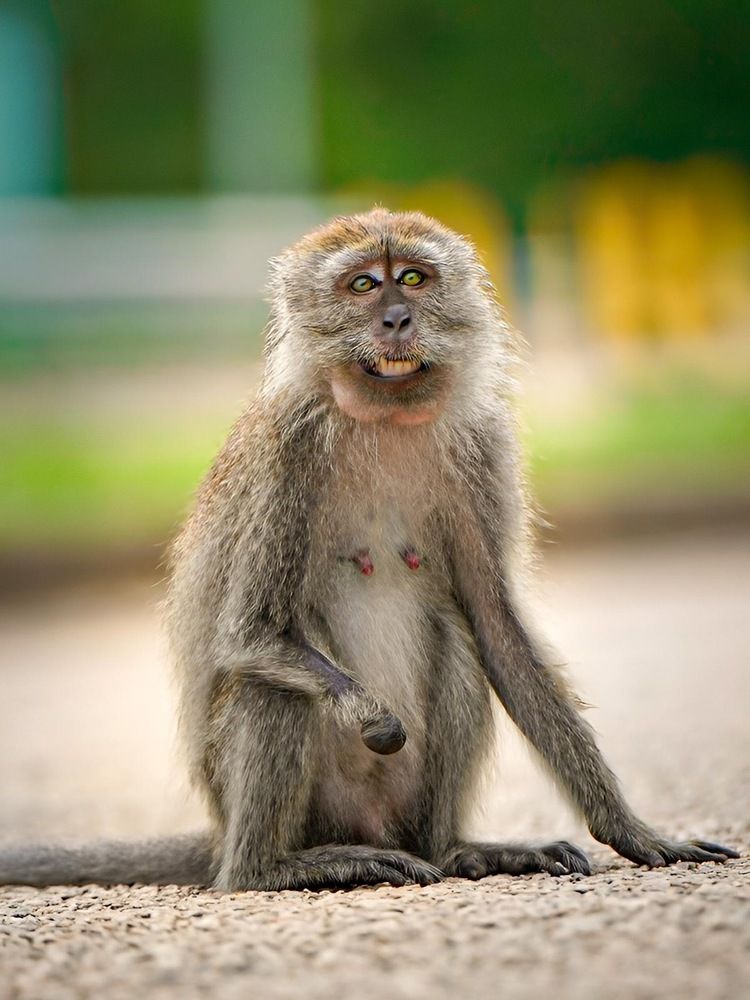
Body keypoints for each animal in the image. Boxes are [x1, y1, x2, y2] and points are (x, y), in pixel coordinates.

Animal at [0, 208, 737, 890]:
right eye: (362, 285)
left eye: (411, 278)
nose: (396, 320)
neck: (384, 418)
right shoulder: (287, 452)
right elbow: (250, 635)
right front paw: (371, 716)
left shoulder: (483, 448)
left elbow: (498, 634)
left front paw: (632, 830)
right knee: (276, 690)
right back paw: (273, 869)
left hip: (404, 808)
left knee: (457, 644)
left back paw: (457, 851)